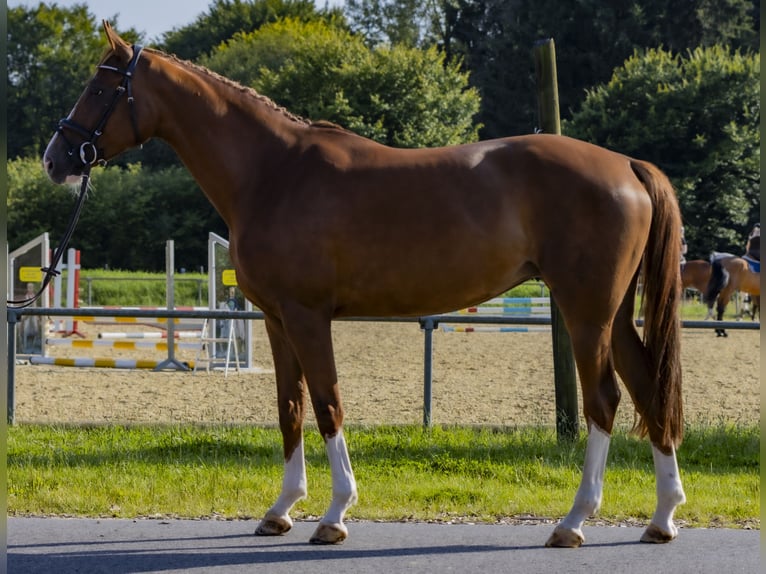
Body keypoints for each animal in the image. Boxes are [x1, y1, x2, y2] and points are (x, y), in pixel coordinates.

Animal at [40, 22, 688, 552]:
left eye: (99, 88)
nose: (54, 158)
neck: (271, 173)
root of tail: (627, 166)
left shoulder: (307, 316)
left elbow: (327, 403)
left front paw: (334, 514)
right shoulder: (276, 319)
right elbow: (290, 407)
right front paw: (281, 510)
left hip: (585, 312)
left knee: (604, 400)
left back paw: (574, 521)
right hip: (613, 313)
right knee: (648, 389)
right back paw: (662, 518)